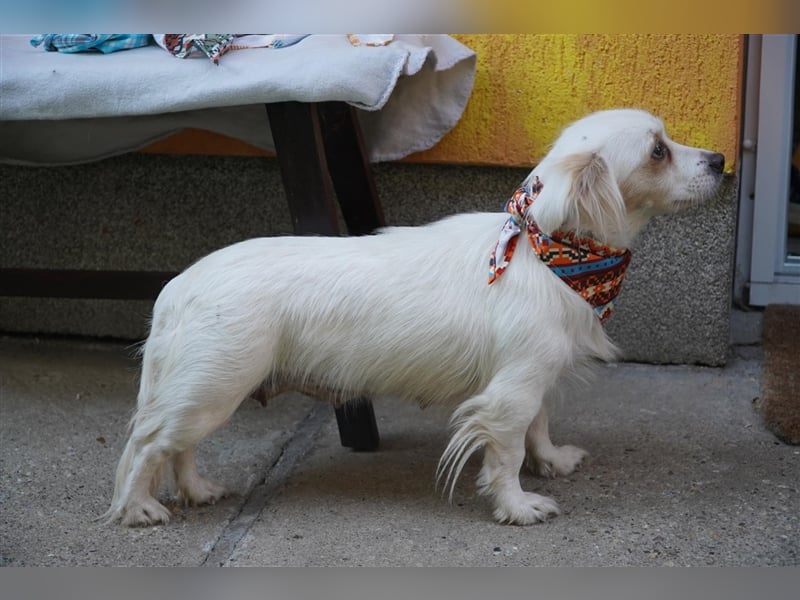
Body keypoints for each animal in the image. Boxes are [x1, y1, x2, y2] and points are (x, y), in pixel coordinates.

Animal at [101, 108, 724, 524]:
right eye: (658, 151)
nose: (721, 160)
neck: (551, 255)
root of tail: (179, 285)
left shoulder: (531, 380)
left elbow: (539, 426)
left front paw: (551, 461)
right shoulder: (509, 395)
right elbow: (507, 451)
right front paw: (518, 505)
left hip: (207, 391)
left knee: (177, 447)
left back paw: (197, 491)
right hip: (214, 388)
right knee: (149, 446)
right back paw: (139, 508)